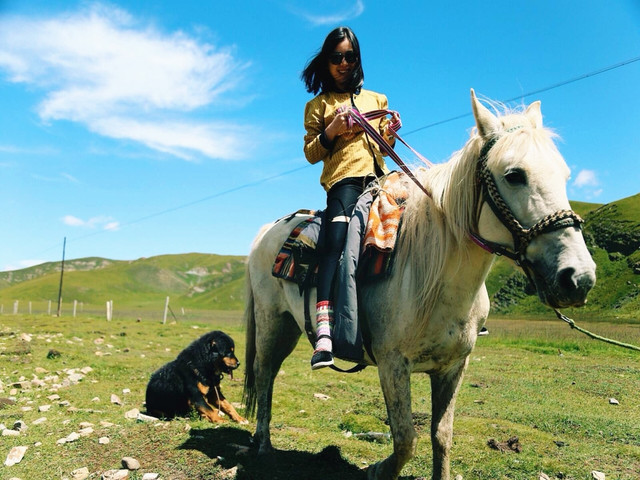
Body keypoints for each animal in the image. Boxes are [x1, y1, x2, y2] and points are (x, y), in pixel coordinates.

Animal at [240, 91, 596, 480]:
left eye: (565, 175)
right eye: (514, 175)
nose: (578, 278)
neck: (438, 281)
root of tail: (267, 232)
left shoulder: (453, 368)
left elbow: (441, 436)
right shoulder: (393, 365)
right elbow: (405, 440)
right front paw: (376, 470)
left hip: (289, 326)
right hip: (272, 322)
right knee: (264, 373)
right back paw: (262, 443)